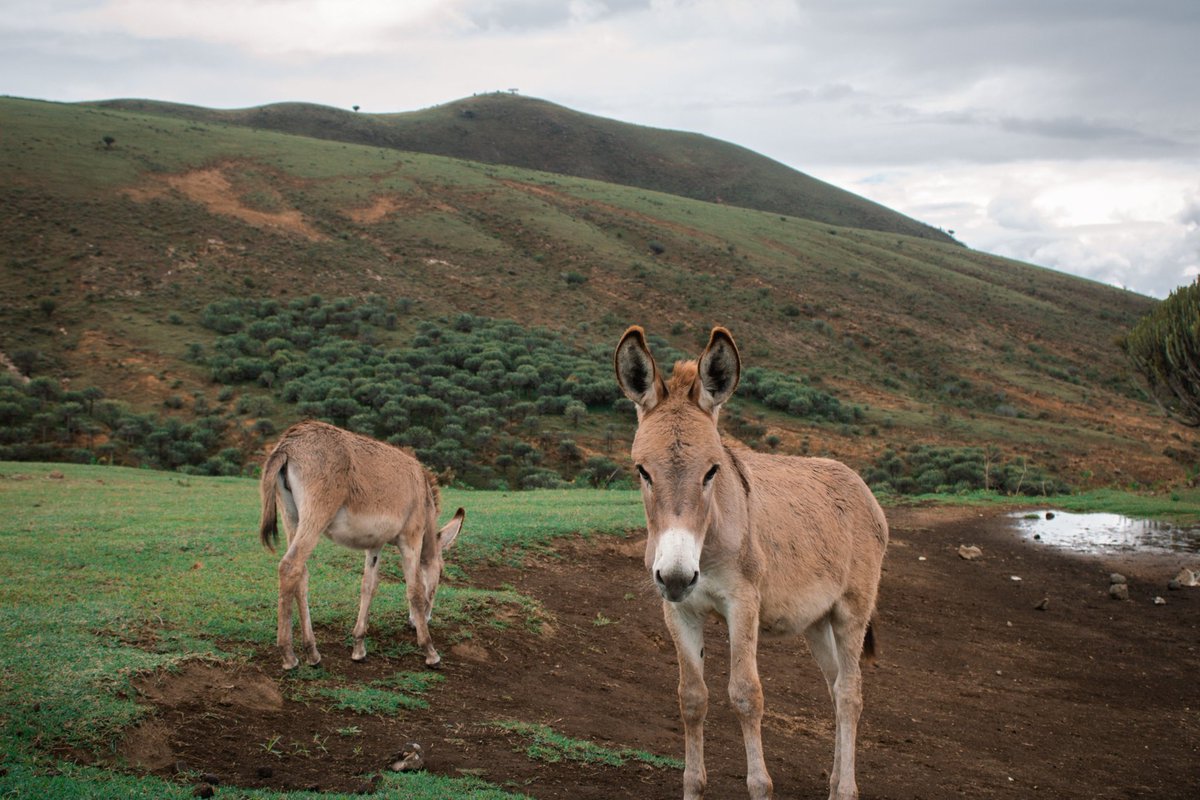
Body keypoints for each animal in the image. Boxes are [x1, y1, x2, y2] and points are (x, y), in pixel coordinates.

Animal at [258, 420, 465, 670]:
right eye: (441, 573)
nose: (421, 621)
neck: (424, 499)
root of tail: (289, 443)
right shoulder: (411, 538)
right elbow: (414, 589)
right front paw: (430, 651)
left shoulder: (375, 544)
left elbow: (369, 586)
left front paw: (358, 646)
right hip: (316, 515)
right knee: (290, 566)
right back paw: (288, 655)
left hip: (291, 518)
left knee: (301, 574)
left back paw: (312, 652)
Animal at [614, 326, 888, 800]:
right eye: (642, 471)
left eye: (712, 470)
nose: (677, 576)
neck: (706, 542)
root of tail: (859, 484)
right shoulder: (678, 610)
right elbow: (691, 697)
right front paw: (693, 785)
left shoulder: (743, 604)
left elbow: (746, 694)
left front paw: (760, 786)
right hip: (817, 621)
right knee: (835, 687)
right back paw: (836, 779)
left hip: (851, 611)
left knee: (851, 694)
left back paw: (845, 790)